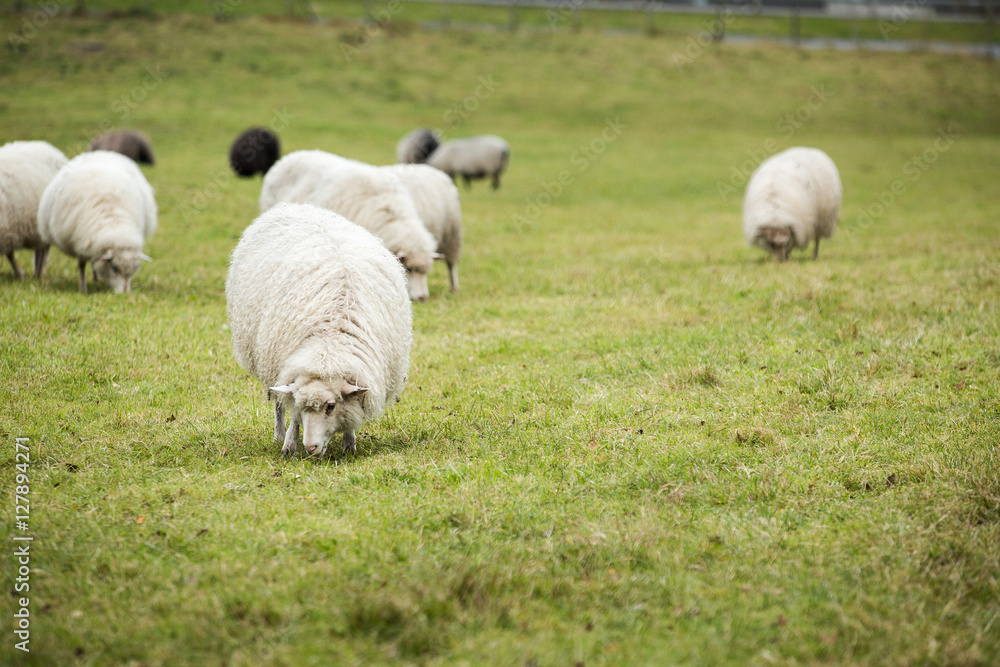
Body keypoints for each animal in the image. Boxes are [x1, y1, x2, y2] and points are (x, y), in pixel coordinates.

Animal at [0, 141, 68, 280]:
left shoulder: (6, 229)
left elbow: (9, 254)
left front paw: (20, 274)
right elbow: (10, 254)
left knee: (44, 249)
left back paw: (39, 273)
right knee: (40, 249)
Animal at [38, 151, 156, 293]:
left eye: (135, 269)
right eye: (114, 267)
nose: (124, 294)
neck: (113, 221)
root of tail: (101, 152)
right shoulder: (79, 243)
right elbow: (81, 265)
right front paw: (83, 288)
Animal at [226, 202, 412, 458]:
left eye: (330, 406)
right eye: (305, 407)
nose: (311, 447)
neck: (330, 343)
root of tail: (292, 206)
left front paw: (349, 443)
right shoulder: (293, 376)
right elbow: (293, 414)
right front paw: (289, 444)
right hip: (271, 363)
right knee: (278, 403)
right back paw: (279, 434)